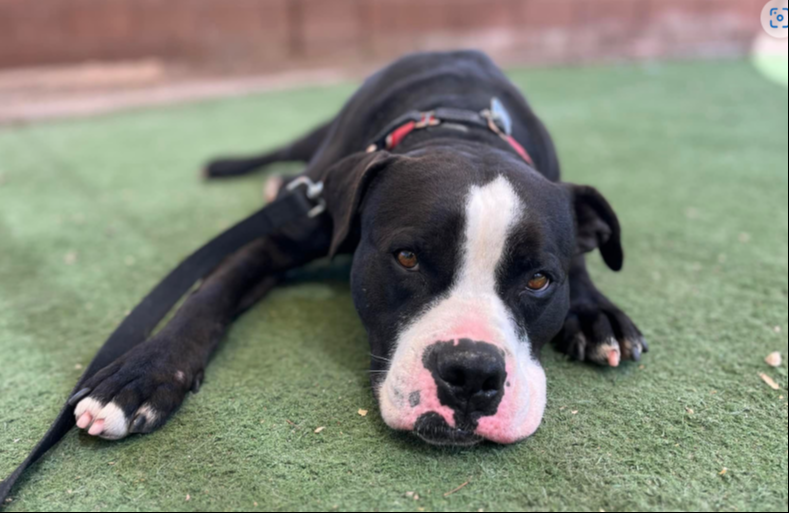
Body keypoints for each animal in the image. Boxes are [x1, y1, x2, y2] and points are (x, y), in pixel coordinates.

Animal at [71, 50, 644, 446]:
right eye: (407, 257)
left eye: (539, 279)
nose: (472, 374)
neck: (463, 131)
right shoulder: (280, 238)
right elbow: (206, 299)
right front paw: (140, 376)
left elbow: (583, 259)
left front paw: (598, 315)